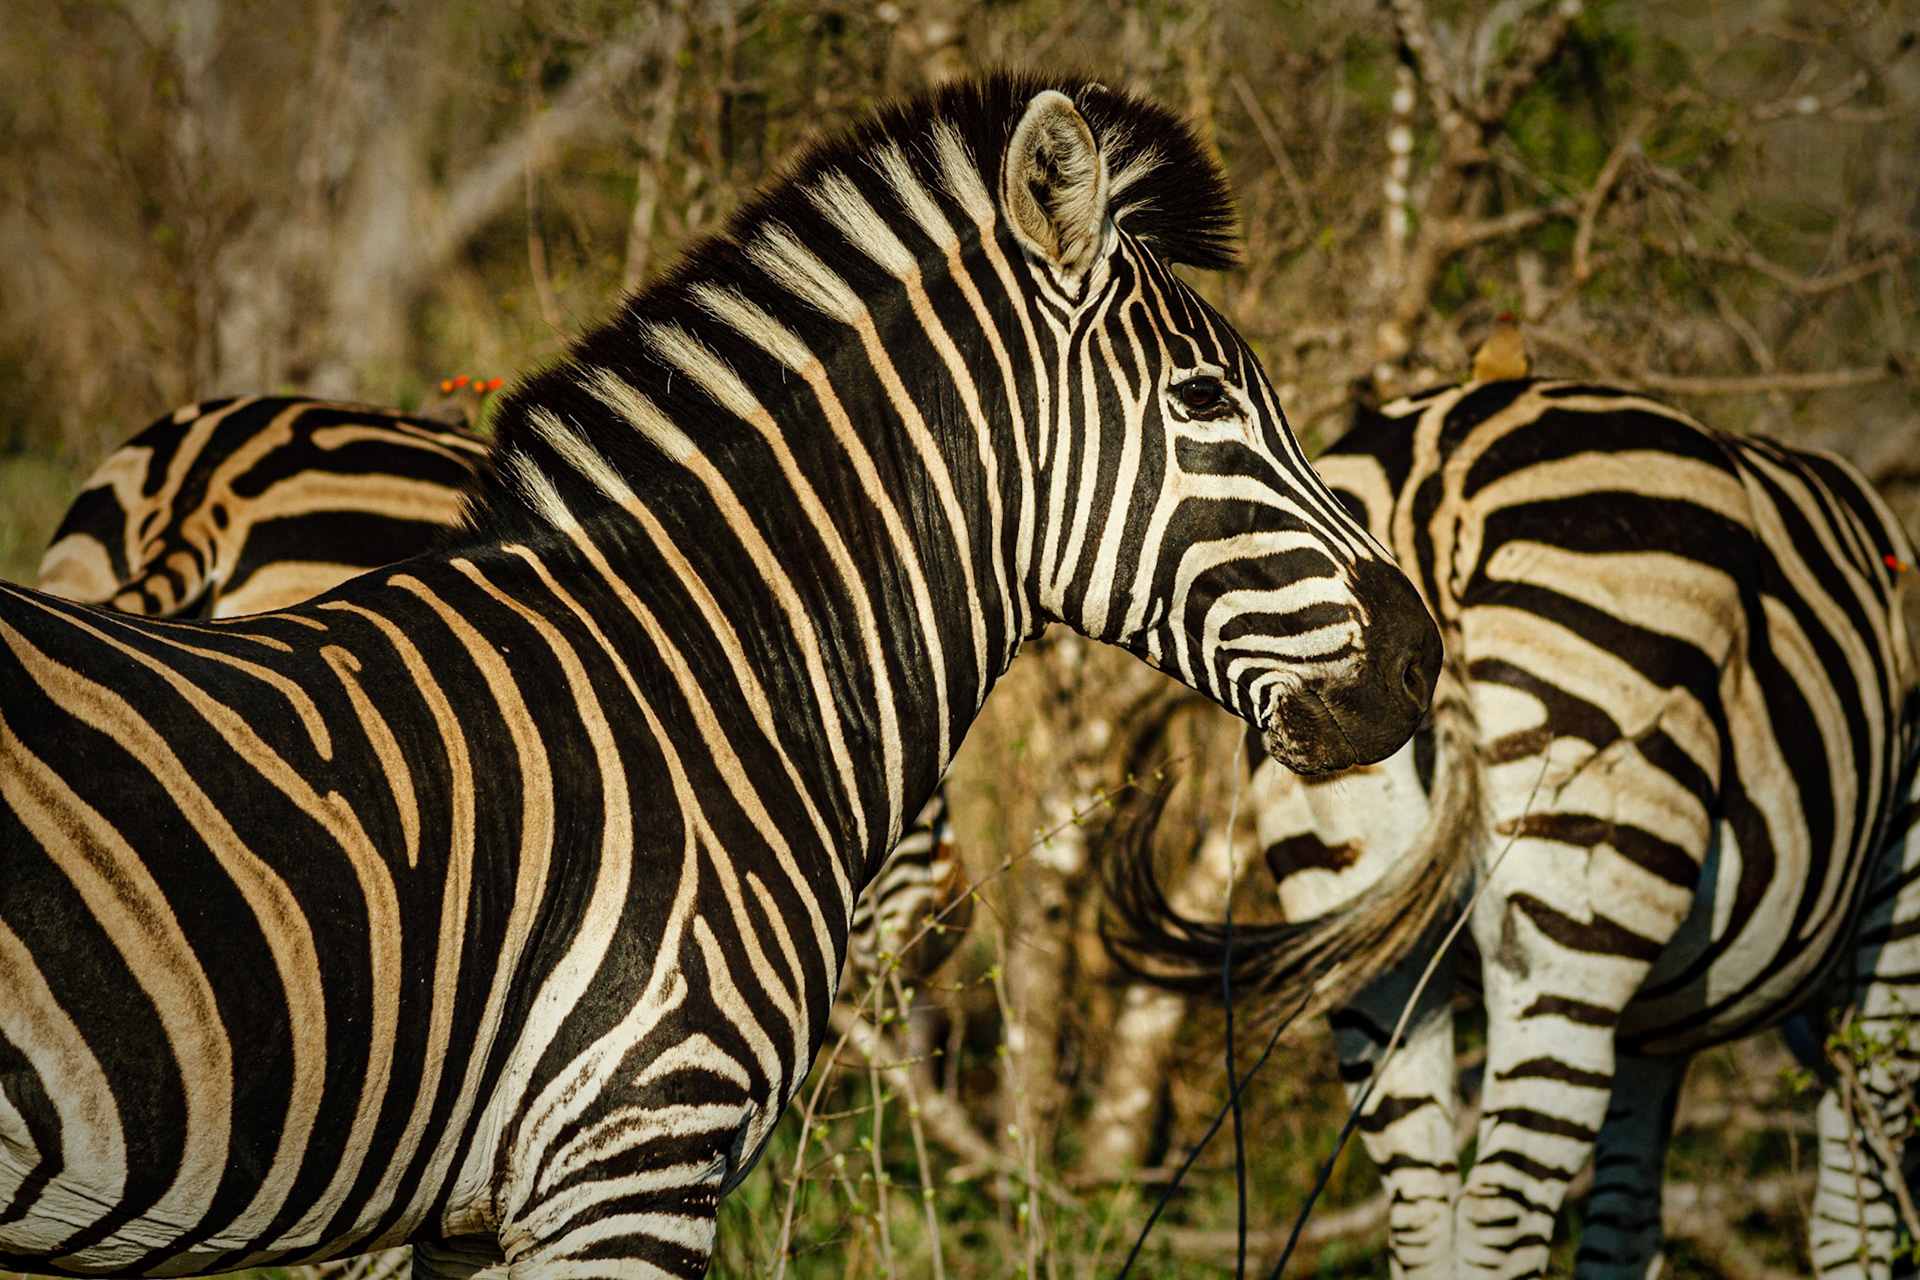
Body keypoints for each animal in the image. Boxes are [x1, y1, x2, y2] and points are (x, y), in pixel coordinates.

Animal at [1108, 375, 1920, 1280]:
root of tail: (1437, 472)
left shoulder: (1653, 1033)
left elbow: (1627, 1226)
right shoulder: (1901, 907)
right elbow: (1855, 1218)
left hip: (1359, 899)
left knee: (1425, 1208)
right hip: (1573, 903)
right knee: (1502, 1211)